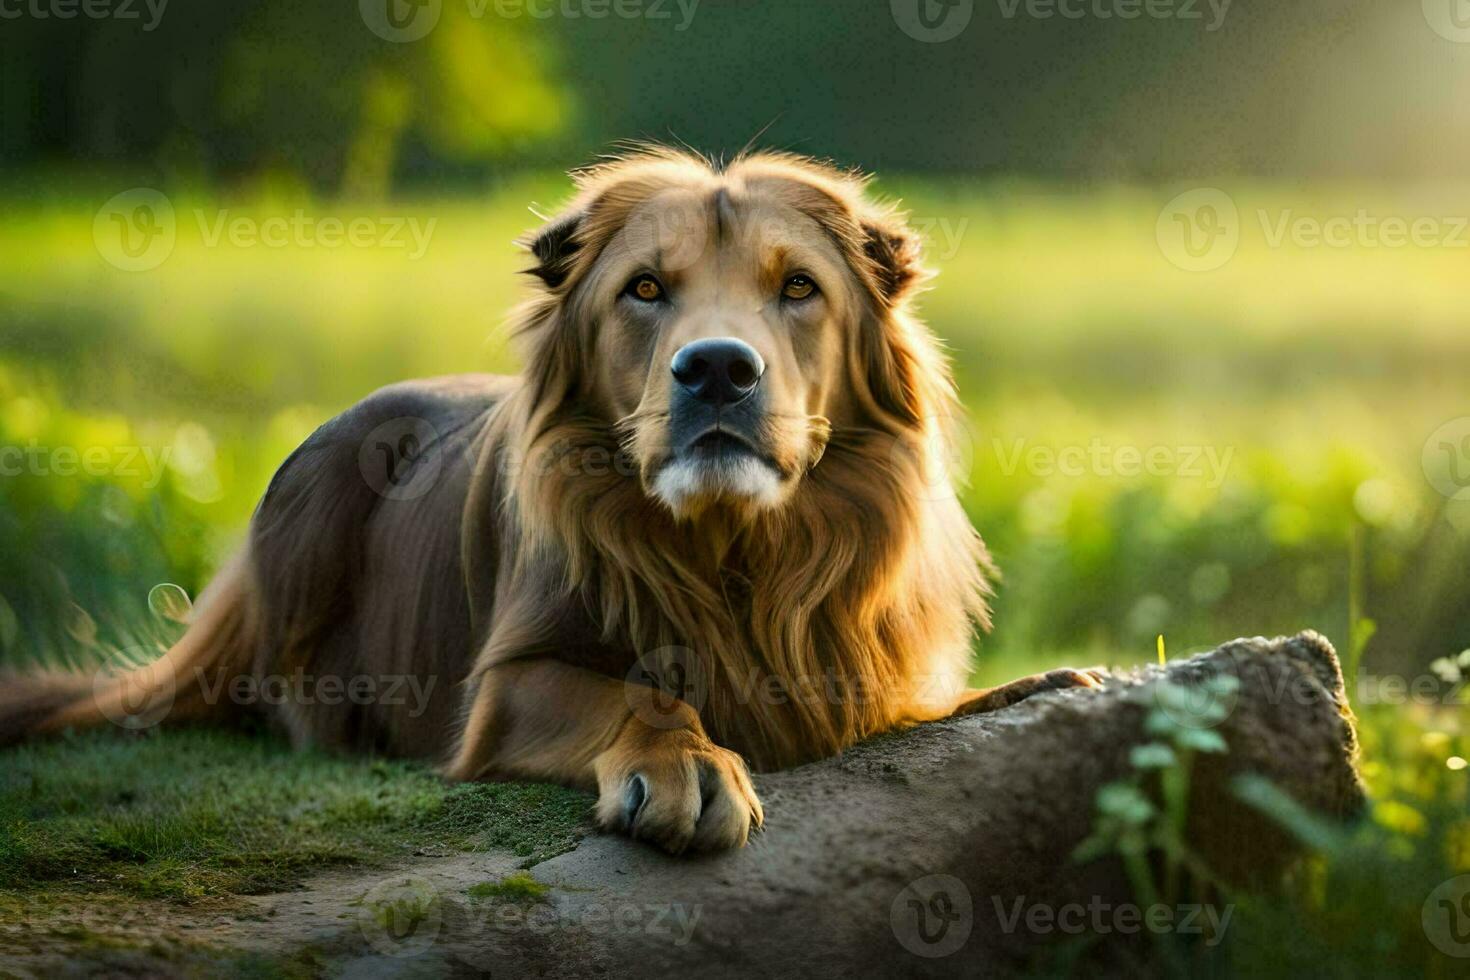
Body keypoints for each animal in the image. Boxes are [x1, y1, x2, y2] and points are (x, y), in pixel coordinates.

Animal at [0, 149, 1105, 852]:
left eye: (798, 289)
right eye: (646, 289)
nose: (717, 370)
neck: (732, 548)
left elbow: (915, 705)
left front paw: (1038, 684)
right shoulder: (508, 683)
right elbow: (634, 691)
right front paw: (688, 765)